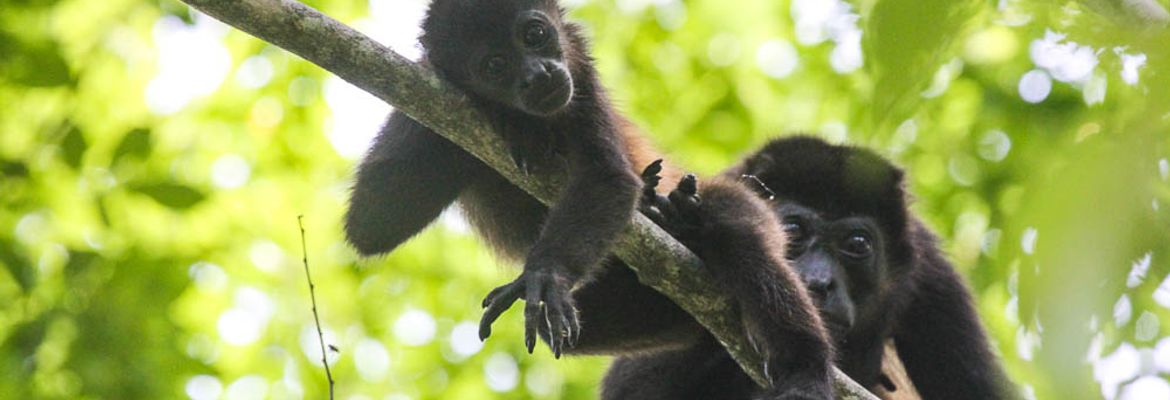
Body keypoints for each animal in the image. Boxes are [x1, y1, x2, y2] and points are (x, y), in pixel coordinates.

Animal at [344, 0, 835, 397]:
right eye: (495, 66)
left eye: (534, 34)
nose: (537, 75)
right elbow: (374, 222)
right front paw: (505, 117)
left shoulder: (580, 70)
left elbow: (607, 178)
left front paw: (546, 274)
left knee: (740, 237)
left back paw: (806, 367)